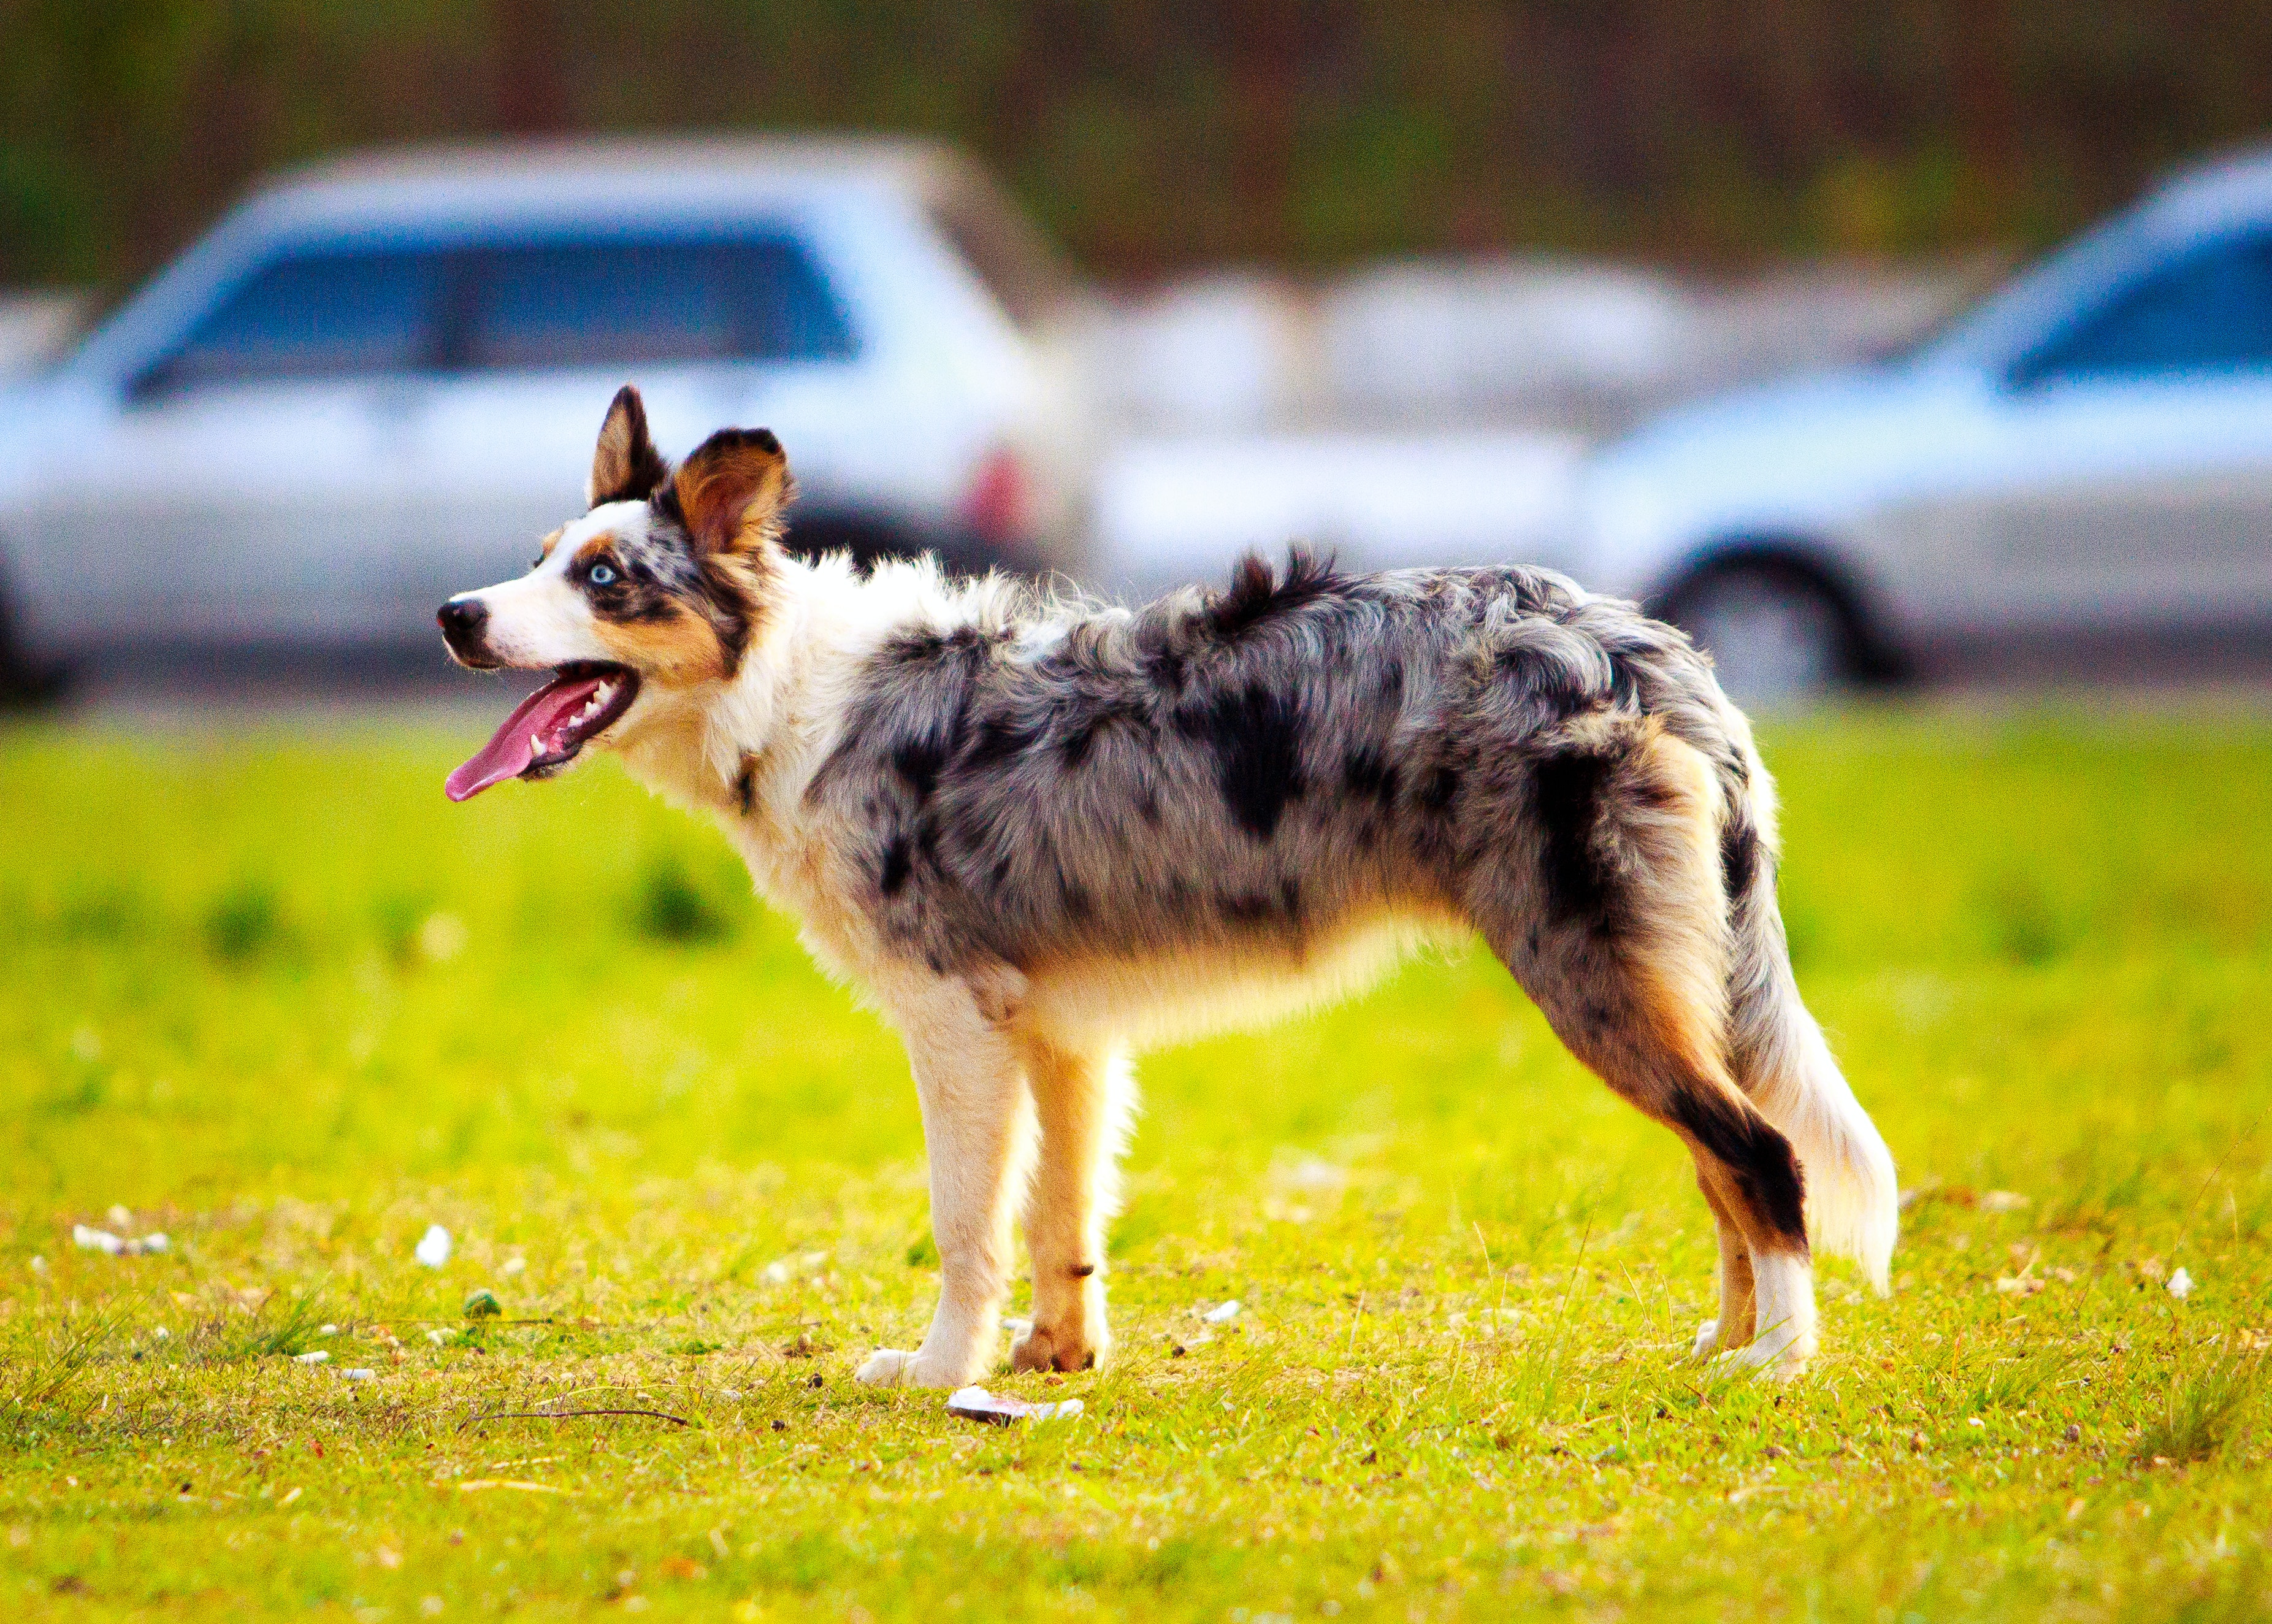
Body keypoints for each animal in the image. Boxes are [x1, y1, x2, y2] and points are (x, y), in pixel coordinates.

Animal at [434, 383, 1890, 1381]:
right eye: (539, 554)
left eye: (605, 579)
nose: (455, 615)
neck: (788, 692)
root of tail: (1647, 650)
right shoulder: (1059, 1033)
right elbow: (1059, 1214)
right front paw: (1050, 1362)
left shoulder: (954, 1025)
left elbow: (965, 1220)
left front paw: (938, 1370)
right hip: (1650, 980)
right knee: (1720, 1161)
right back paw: (1723, 1343)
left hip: (1589, 974)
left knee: (1758, 1152)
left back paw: (1778, 1360)